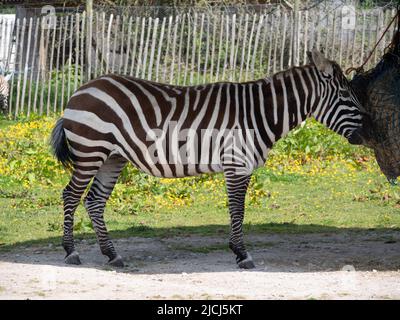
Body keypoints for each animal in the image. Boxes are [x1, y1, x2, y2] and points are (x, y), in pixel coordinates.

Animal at [50, 50, 368, 268]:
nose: (369, 131)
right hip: (91, 151)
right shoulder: (237, 163)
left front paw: (237, 251)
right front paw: (242, 254)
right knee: (70, 195)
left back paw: (112, 255)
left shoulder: (238, 165)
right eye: (345, 94)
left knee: (94, 201)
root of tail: (81, 89)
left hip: (112, 158)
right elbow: (238, 210)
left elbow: (236, 210)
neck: (260, 113)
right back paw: (71, 251)